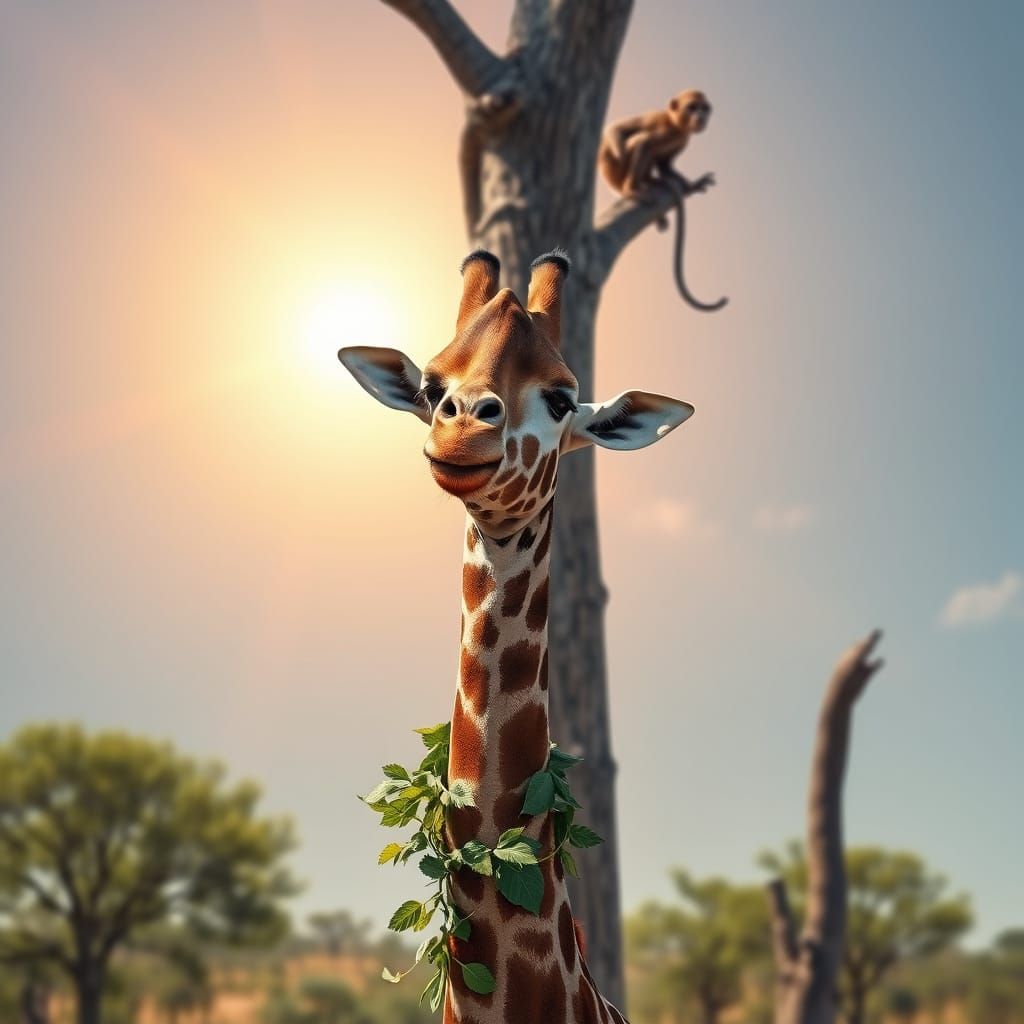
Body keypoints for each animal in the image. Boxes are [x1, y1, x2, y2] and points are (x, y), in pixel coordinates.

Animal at [599, 89, 727, 312]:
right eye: (692, 107)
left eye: (704, 109)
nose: (700, 117)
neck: (676, 127)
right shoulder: (655, 118)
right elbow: (619, 129)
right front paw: (619, 150)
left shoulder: (682, 139)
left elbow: (666, 165)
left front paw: (689, 183)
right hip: (617, 175)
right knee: (642, 141)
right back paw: (632, 188)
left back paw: (655, 181)